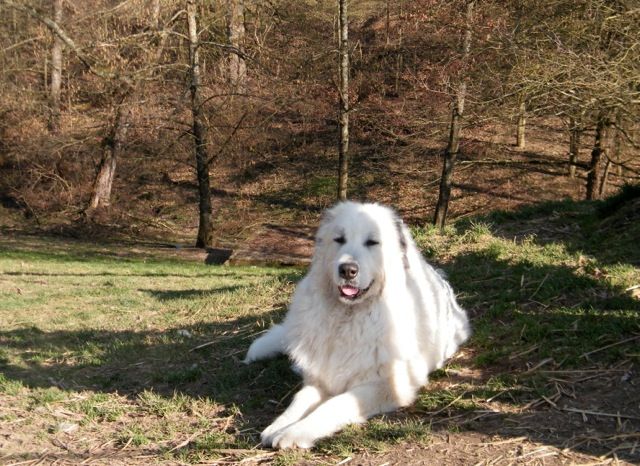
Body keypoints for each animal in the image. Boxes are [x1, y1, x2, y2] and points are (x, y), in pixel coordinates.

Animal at [245, 202, 470, 450]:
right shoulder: (321, 379)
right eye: (339, 239)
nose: (347, 270)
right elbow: (299, 400)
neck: (349, 318)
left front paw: (295, 433)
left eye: (372, 242)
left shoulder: (386, 385)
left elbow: (334, 404)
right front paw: (278, 426)